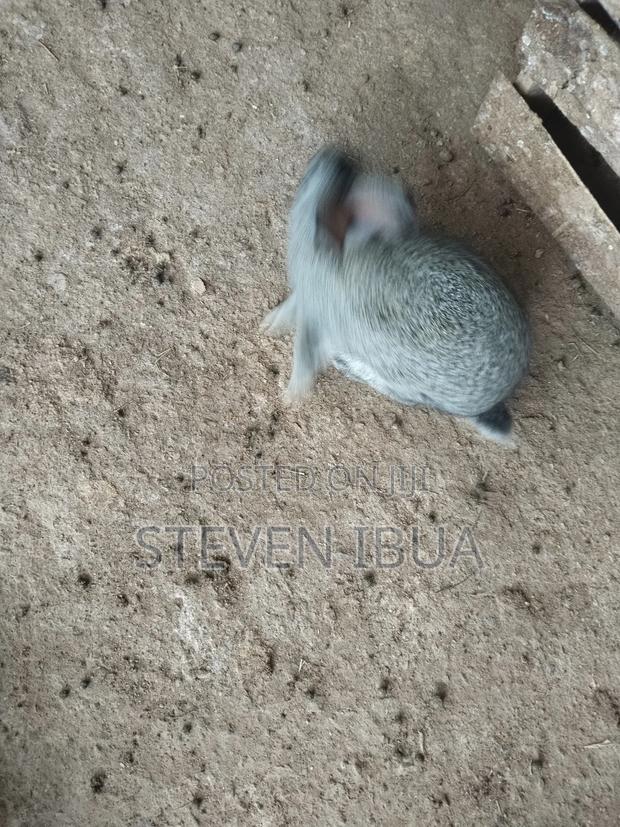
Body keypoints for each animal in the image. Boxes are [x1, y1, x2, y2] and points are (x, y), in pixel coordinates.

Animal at [261, 146, 530, 443]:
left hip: (410, 385)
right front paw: (269, 325)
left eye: (307, 181)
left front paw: (290, 395)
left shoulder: (316, 317)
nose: (335, 157)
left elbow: (304, 351)